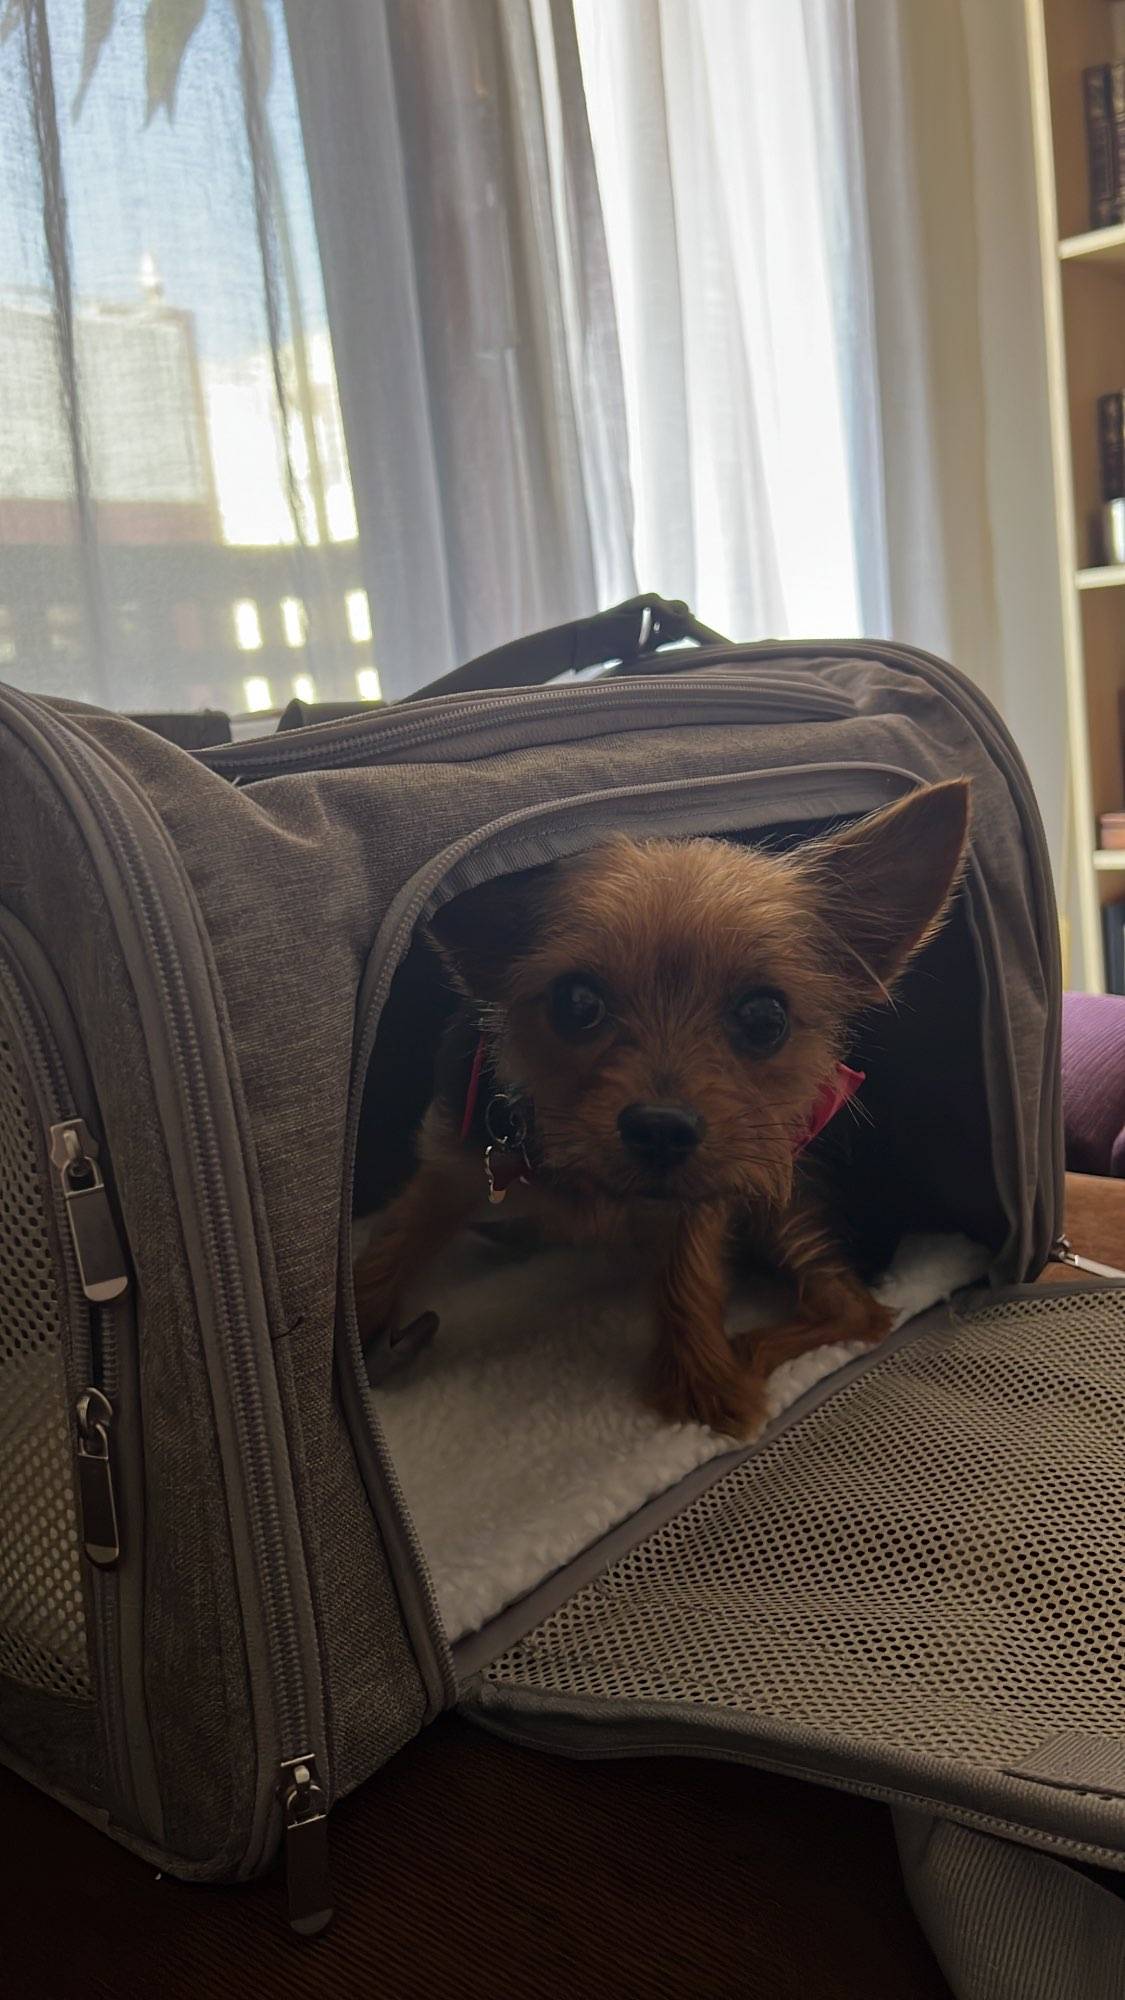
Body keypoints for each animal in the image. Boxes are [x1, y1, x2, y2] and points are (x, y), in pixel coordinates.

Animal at [354, 780, 970, 1437]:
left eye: (765, 1017)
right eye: (576, 1002)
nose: (661, 1131)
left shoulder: (712, 1188)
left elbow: (689, 1269)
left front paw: (704, 1380)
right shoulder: (454, 1163)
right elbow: (394, 1241)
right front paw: (353, 1338)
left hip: (786, 1194)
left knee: (856, 1312)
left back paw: (747, 1351)